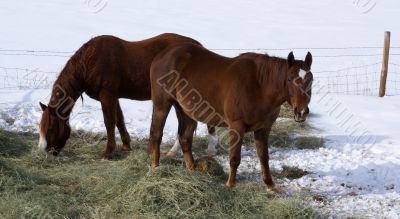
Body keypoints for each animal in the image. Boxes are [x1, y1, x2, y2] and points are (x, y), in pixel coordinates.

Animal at [38, 32, 206, 158]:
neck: (90, 62)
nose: (45, 151)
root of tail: (198, 46)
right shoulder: (113, 96)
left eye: (51, 128)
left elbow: (109, 122)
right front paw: (126, 145)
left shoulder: (107, 95)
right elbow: (119, 120)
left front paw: (108, 152)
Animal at [149, 42, 312, 190]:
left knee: (185, 139)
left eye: (310, 79)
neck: (258, 86)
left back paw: (192, 171)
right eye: (290, 79)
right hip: (162, 106)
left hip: (186, 111)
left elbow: (264, 157)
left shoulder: (263, 128)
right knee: (156, 135)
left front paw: (270, 185)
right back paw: (155, 168)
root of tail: (163, 55)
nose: (301, 112)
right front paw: (230, 184)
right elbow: (234, 158)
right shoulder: (236, 126)